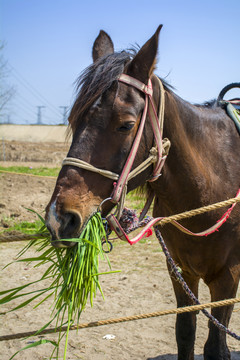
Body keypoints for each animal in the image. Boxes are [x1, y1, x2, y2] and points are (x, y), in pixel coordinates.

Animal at [45, 26, 240, 358]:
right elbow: (185, 333)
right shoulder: (181, 271)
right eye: (72, 119)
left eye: (126, 125)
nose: (60, 218)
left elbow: (216, 346)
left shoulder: (227, 277)